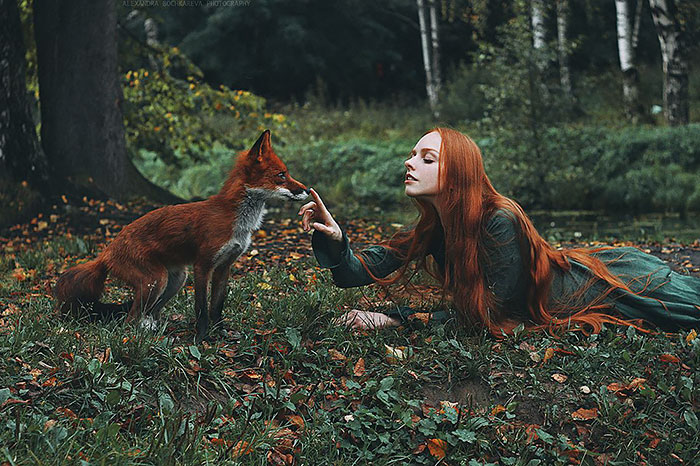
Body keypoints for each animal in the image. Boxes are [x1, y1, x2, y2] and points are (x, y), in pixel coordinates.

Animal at [54, 130, 308, 342]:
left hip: (175, 280)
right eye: (281, 175)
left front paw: (221, 334)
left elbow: (217, 307)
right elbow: (201, 308)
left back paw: (155, 332)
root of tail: (105, 252)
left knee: (149, 314)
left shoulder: (224, 267)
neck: (237, 221)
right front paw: (202, 339)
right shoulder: (202, 265)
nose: (306, 189)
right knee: (130, 319)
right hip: (155, 280)